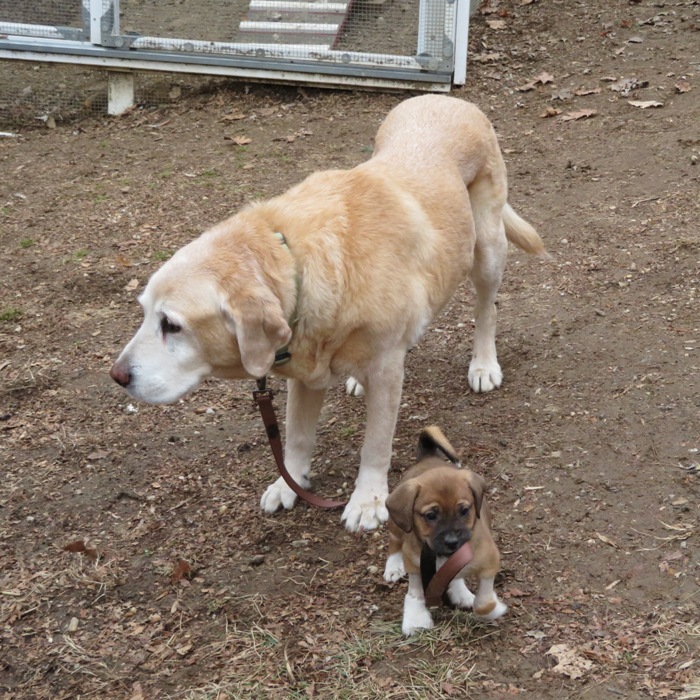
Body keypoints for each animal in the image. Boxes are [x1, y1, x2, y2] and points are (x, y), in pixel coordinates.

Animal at [110, 93, 548, 532]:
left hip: (487, 249)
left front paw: (368, 500)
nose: (117, 377)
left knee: (486, 309)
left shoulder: (384, 373)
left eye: (172, 325)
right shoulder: (306, 375)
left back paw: (483, 365)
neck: (297, 261)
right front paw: (289, 482)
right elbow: (297, 436)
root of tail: (446, 97)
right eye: (144, 312)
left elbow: (375, 444)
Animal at [386, 426, 506, 636]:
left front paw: (494, 608)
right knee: (394, 540)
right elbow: (415, 593)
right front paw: (416, 617)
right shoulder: (414, 562)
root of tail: (427, 458)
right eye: (431, 516)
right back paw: (393, 565)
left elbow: (484, 603)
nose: (452, 542)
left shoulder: (489, 561)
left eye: (464, 511)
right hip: (396, 525)